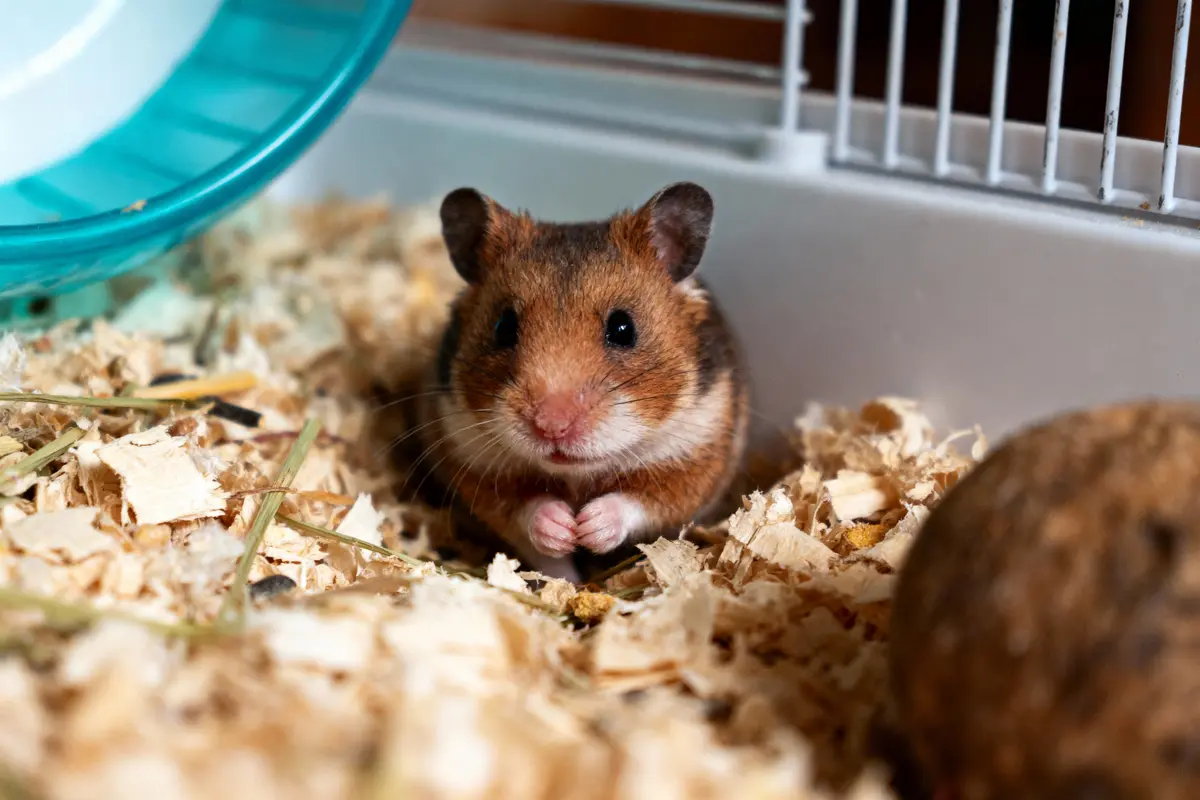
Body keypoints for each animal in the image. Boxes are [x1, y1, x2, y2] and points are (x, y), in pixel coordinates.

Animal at [408, 181, 749, 581]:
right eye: (503, 327)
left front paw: (588, 527)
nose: (551, 427)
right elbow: (526, 511)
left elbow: (639, 501)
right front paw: (564, 530)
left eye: (623, 328)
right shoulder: (475, 463)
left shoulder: (694, 457)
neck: (576, 474)